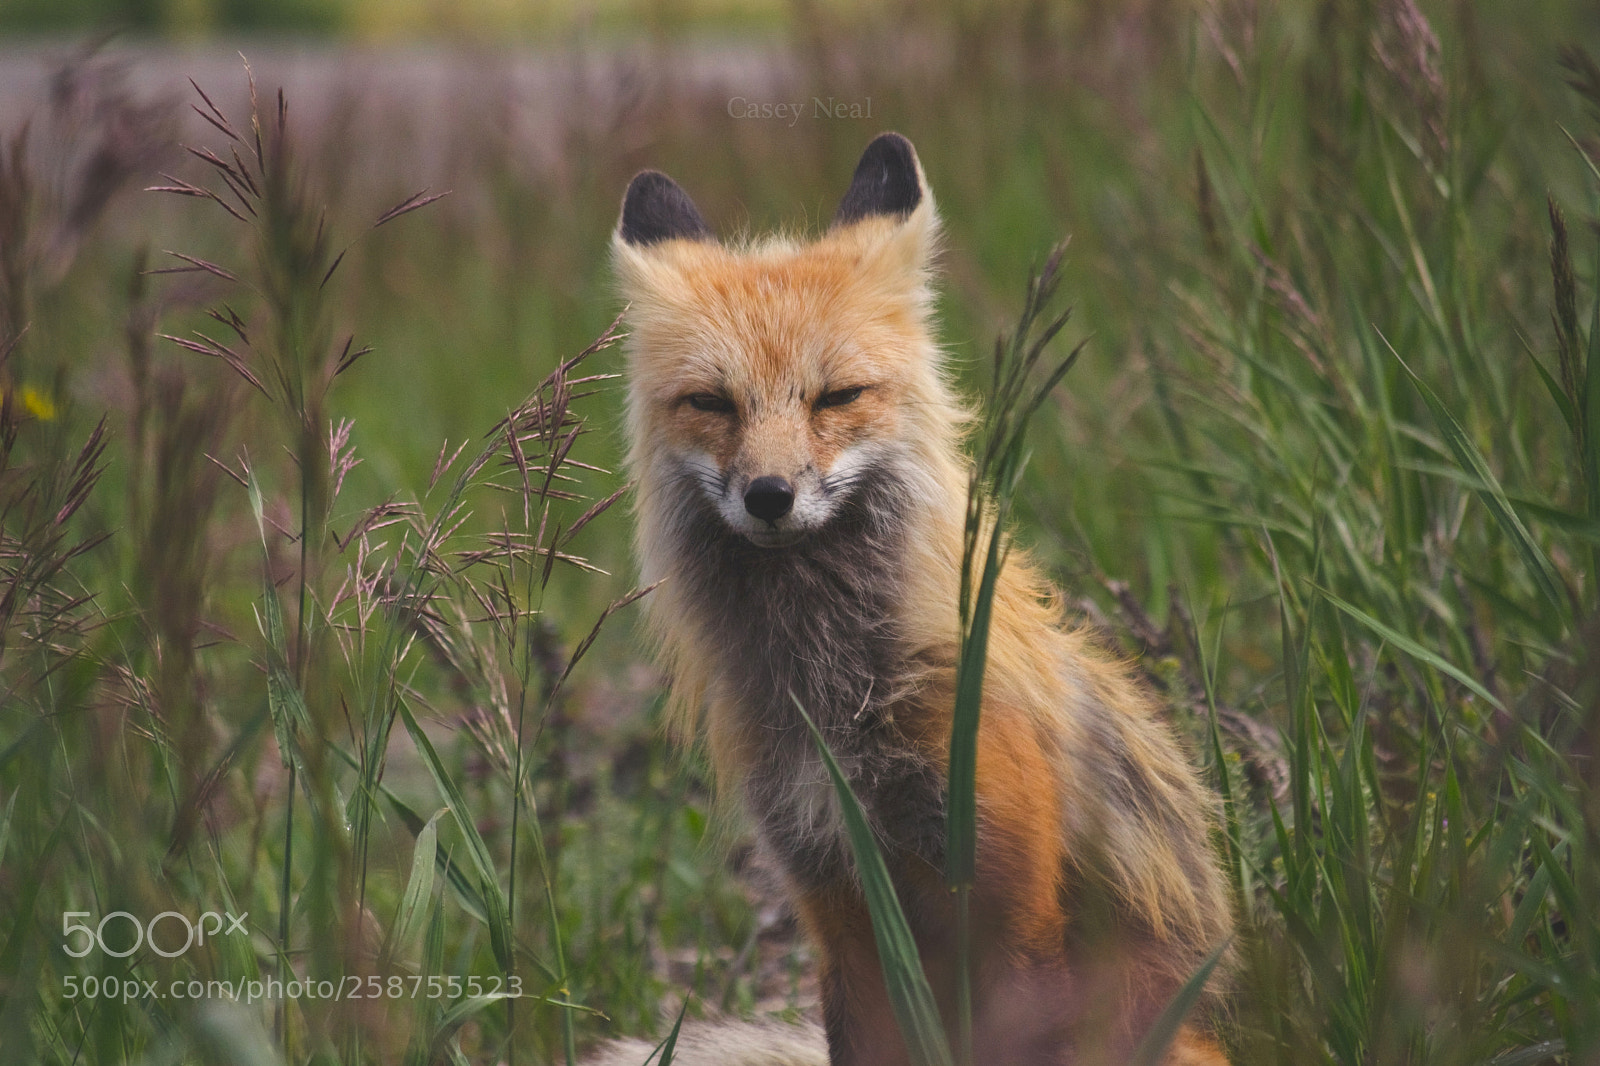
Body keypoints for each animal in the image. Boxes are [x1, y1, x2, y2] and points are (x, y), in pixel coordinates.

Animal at [604, 133, 1235, 1066]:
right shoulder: (837, 903)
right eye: (712, 403)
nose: (769, 495)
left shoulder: (1012, 906)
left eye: (836, 396)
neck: (841, 699)